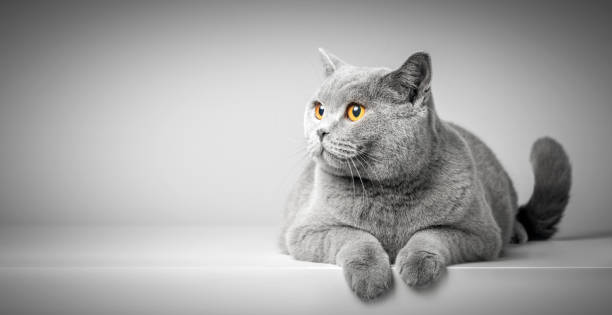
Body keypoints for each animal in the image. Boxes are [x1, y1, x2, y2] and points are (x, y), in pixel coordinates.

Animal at [280, 49, 572, 302]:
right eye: (319, 110)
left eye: (355, 111)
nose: (321, 131)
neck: (389, 192)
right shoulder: (305, 232)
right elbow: (355, 237)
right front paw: (370, 278)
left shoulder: (480, 234)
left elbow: (431, 234)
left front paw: (417, 266)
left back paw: (517, 233)